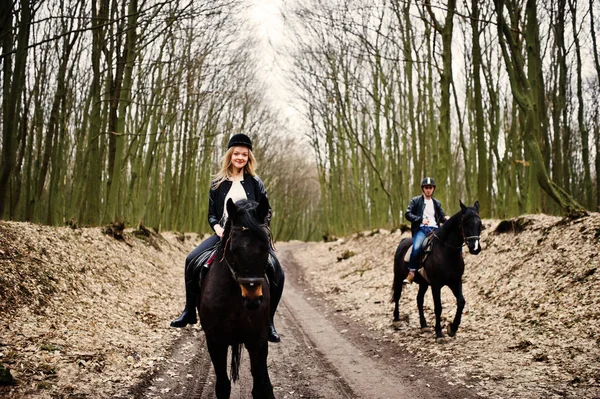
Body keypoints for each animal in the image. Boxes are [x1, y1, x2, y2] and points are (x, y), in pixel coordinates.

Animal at [202, 198, 276, 399]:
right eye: (233, 249)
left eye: (265, 247)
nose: (252, 298)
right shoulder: (215, 342)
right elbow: (222, 386)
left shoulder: (258, 341)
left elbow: (260, 387)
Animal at [390, 202, 482, 340]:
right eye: (465, 223)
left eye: (480, 224)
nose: (475, 248)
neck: (446, 252)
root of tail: (403, 242)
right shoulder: (436, 285)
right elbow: (438, 307)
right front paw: (439, 333)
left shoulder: (456, 281)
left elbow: (461, 302)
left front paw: (452, 328)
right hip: (399, 277)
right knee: (397, 295)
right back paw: (396, 320)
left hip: (423, 283)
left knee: (419, 299)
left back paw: (423, 325)